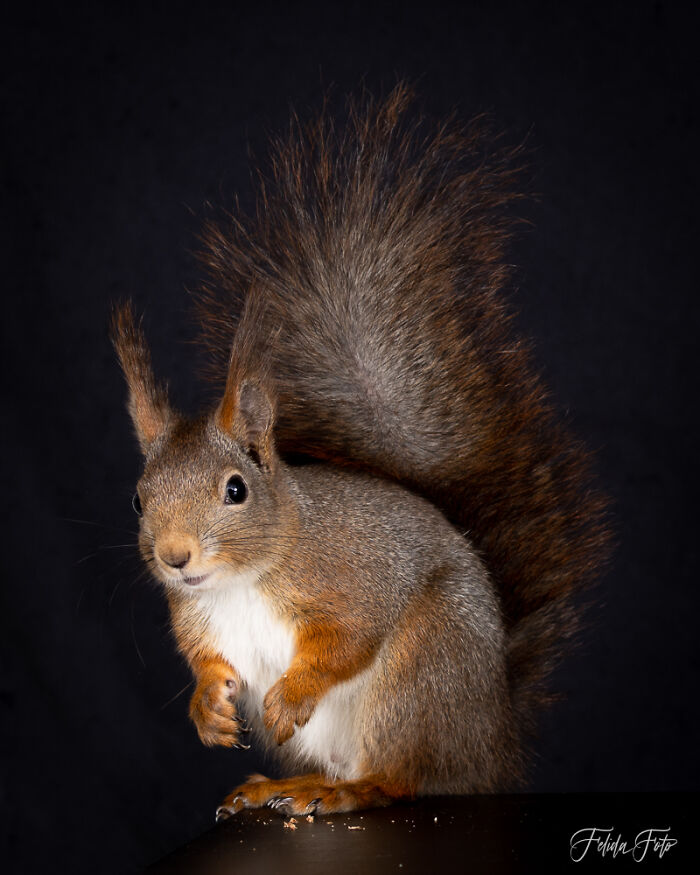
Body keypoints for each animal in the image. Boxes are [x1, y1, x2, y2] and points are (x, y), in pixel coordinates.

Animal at [112, 84, 609, 819]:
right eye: (139, 498)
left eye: (236, 489)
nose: (176, 557)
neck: (249, 575)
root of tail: (488, 744)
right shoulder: (199, 618)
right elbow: (207, 662)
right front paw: (207, 707)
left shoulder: (354, 576)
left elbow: (348, 638)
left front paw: (291, 693)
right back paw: (283, 786)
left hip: (421, 673)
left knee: (401, 775)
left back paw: (349, 790)